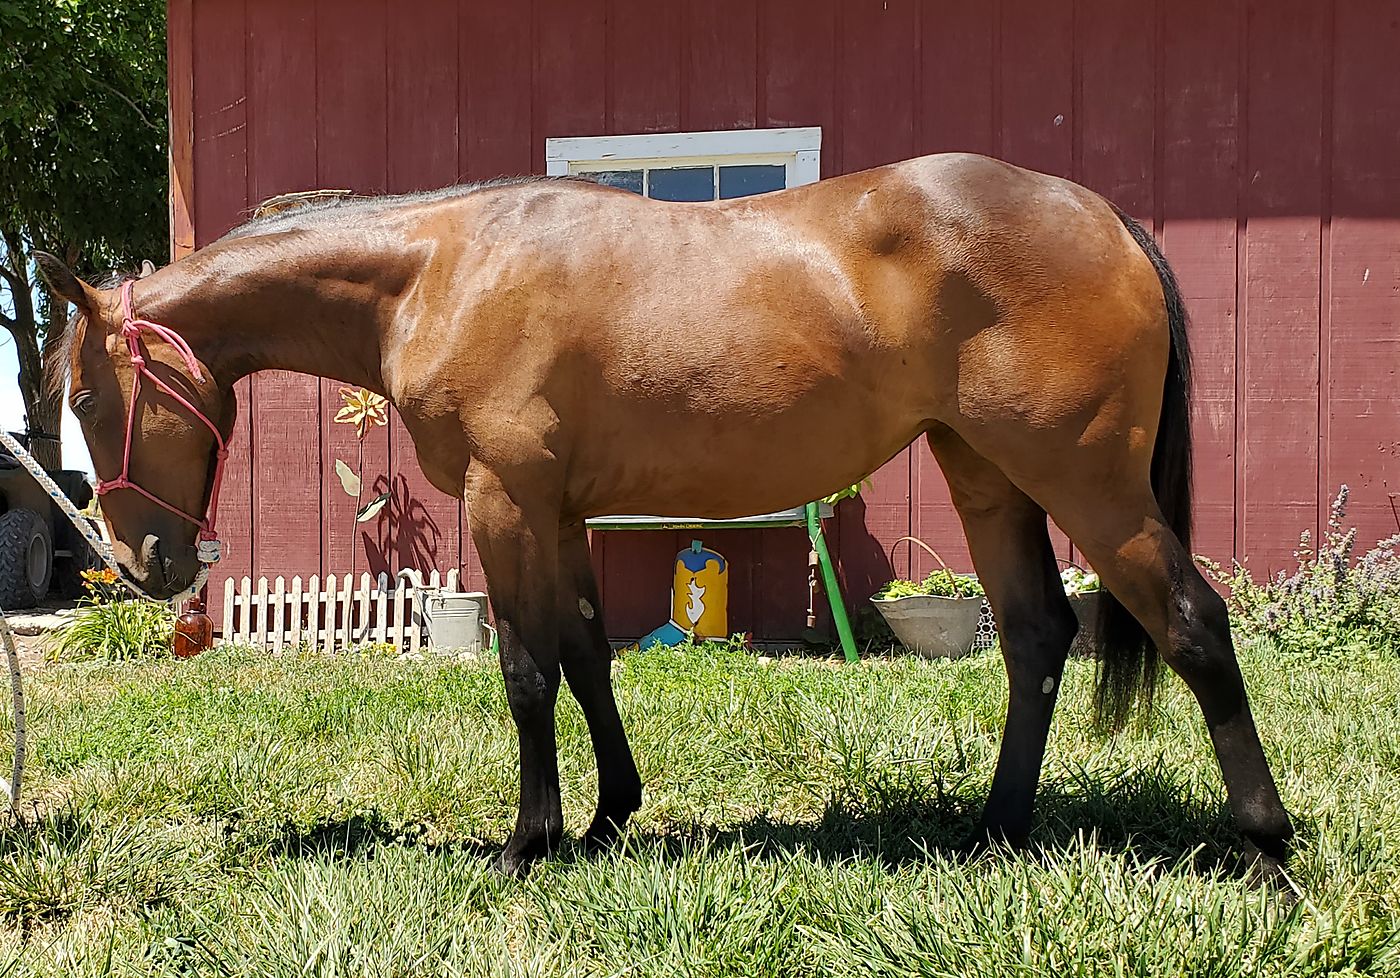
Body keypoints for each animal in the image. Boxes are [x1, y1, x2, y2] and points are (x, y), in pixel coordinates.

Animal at [37, 153, 1293, 878]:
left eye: (89, 396)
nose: (142, 559)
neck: (437, 270)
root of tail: (1102, 214)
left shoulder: (503, 500)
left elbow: (526, 671)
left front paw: (529, 843)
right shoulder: (558, 513)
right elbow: (588, 656)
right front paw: (606, 821)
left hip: (1086, 483)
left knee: (1191, 623)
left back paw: (1264, 848)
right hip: (985, 476)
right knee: (1034, 639)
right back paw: (992, 834)